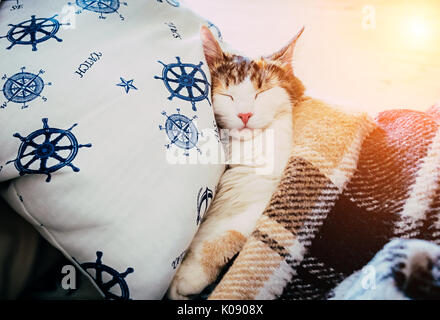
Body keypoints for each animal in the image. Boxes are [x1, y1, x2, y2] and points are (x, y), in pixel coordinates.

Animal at [167, 25, 304, 300]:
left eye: (261, 92)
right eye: (227, 95)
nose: (244, 114)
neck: (245, 150)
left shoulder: (258, 203)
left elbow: (225, 237)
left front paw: (188, 278)